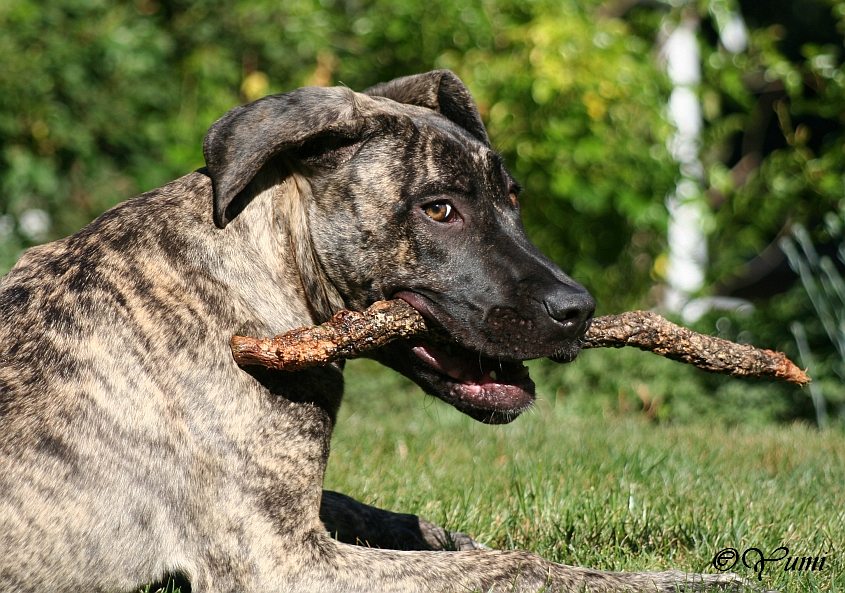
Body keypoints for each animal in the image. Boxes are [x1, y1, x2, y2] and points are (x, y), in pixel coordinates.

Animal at [0, 71, 740, 588]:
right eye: (439, 209)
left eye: (513, 198)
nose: (577, 309)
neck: (262, 266)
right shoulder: (282, 560)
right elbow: (512, 567)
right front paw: (668, 581)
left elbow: (398, 519)